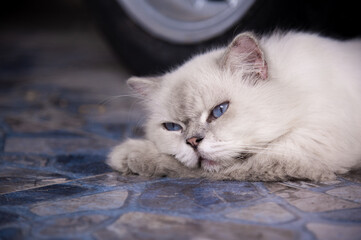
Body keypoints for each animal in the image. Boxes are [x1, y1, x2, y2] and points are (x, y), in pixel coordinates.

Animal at [107, 32, 360, 182]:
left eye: (219, 111)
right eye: (172, 127)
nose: (192, 142)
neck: (297, 91)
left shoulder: (308, 148)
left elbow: (185, 167)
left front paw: (127, 154)